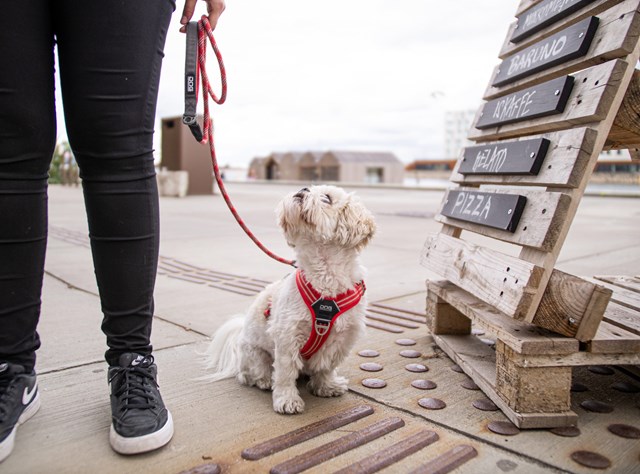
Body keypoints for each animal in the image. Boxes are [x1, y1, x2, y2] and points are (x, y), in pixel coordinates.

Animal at [204, 185, 376, 414]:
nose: (303, 189)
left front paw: (326, 385)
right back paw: (263, 380)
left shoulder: (342, 338)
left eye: (327, 198)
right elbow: (285, 373)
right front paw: (287, 399)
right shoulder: (288, 336)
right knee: (250, 373)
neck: (325, 279)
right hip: (254, 354)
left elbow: (326, 366)